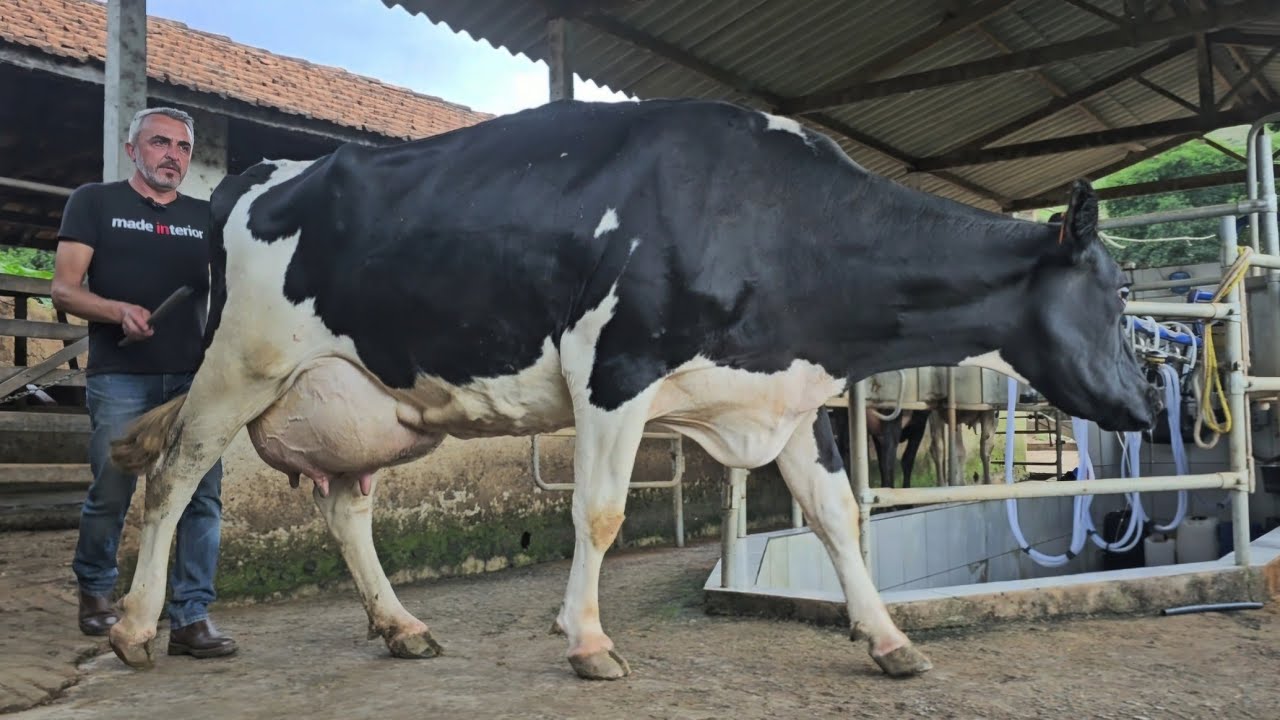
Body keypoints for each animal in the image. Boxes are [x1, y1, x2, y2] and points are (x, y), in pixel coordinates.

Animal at [104, 97, 1159, 681]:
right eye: (1115, 295)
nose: (1149, 410)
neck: (773, 216)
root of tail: (262, 169)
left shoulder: (790, 395)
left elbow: (840, 519)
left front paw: (888, 639)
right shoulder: (613, 368)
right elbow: (601, 513)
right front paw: (585, 641)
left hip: (364, 397)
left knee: (345, 509)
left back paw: (400, 626)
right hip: (240, 363)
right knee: (170, 478)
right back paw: (135, 630)